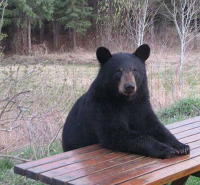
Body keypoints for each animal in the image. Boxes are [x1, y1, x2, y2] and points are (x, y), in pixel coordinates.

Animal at [61, 44, 190, 158]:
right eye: (118, 71)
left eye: (134, 70)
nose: (129, 86)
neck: (126, 100)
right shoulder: (102, 106)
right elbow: (116, 132)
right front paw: (166, 149)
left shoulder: (141, 104)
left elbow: (154, 126)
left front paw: (181, 146)